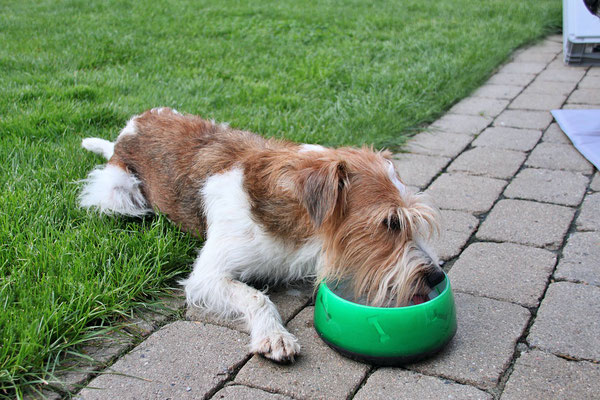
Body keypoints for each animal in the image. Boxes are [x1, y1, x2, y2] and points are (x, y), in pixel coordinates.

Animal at [79, 106, 442, 362]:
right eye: (390, 223)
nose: (437, 276)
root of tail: (124, 134)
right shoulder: (208, 274)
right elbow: (256, 296)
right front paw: (275, 336)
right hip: (120, 193)